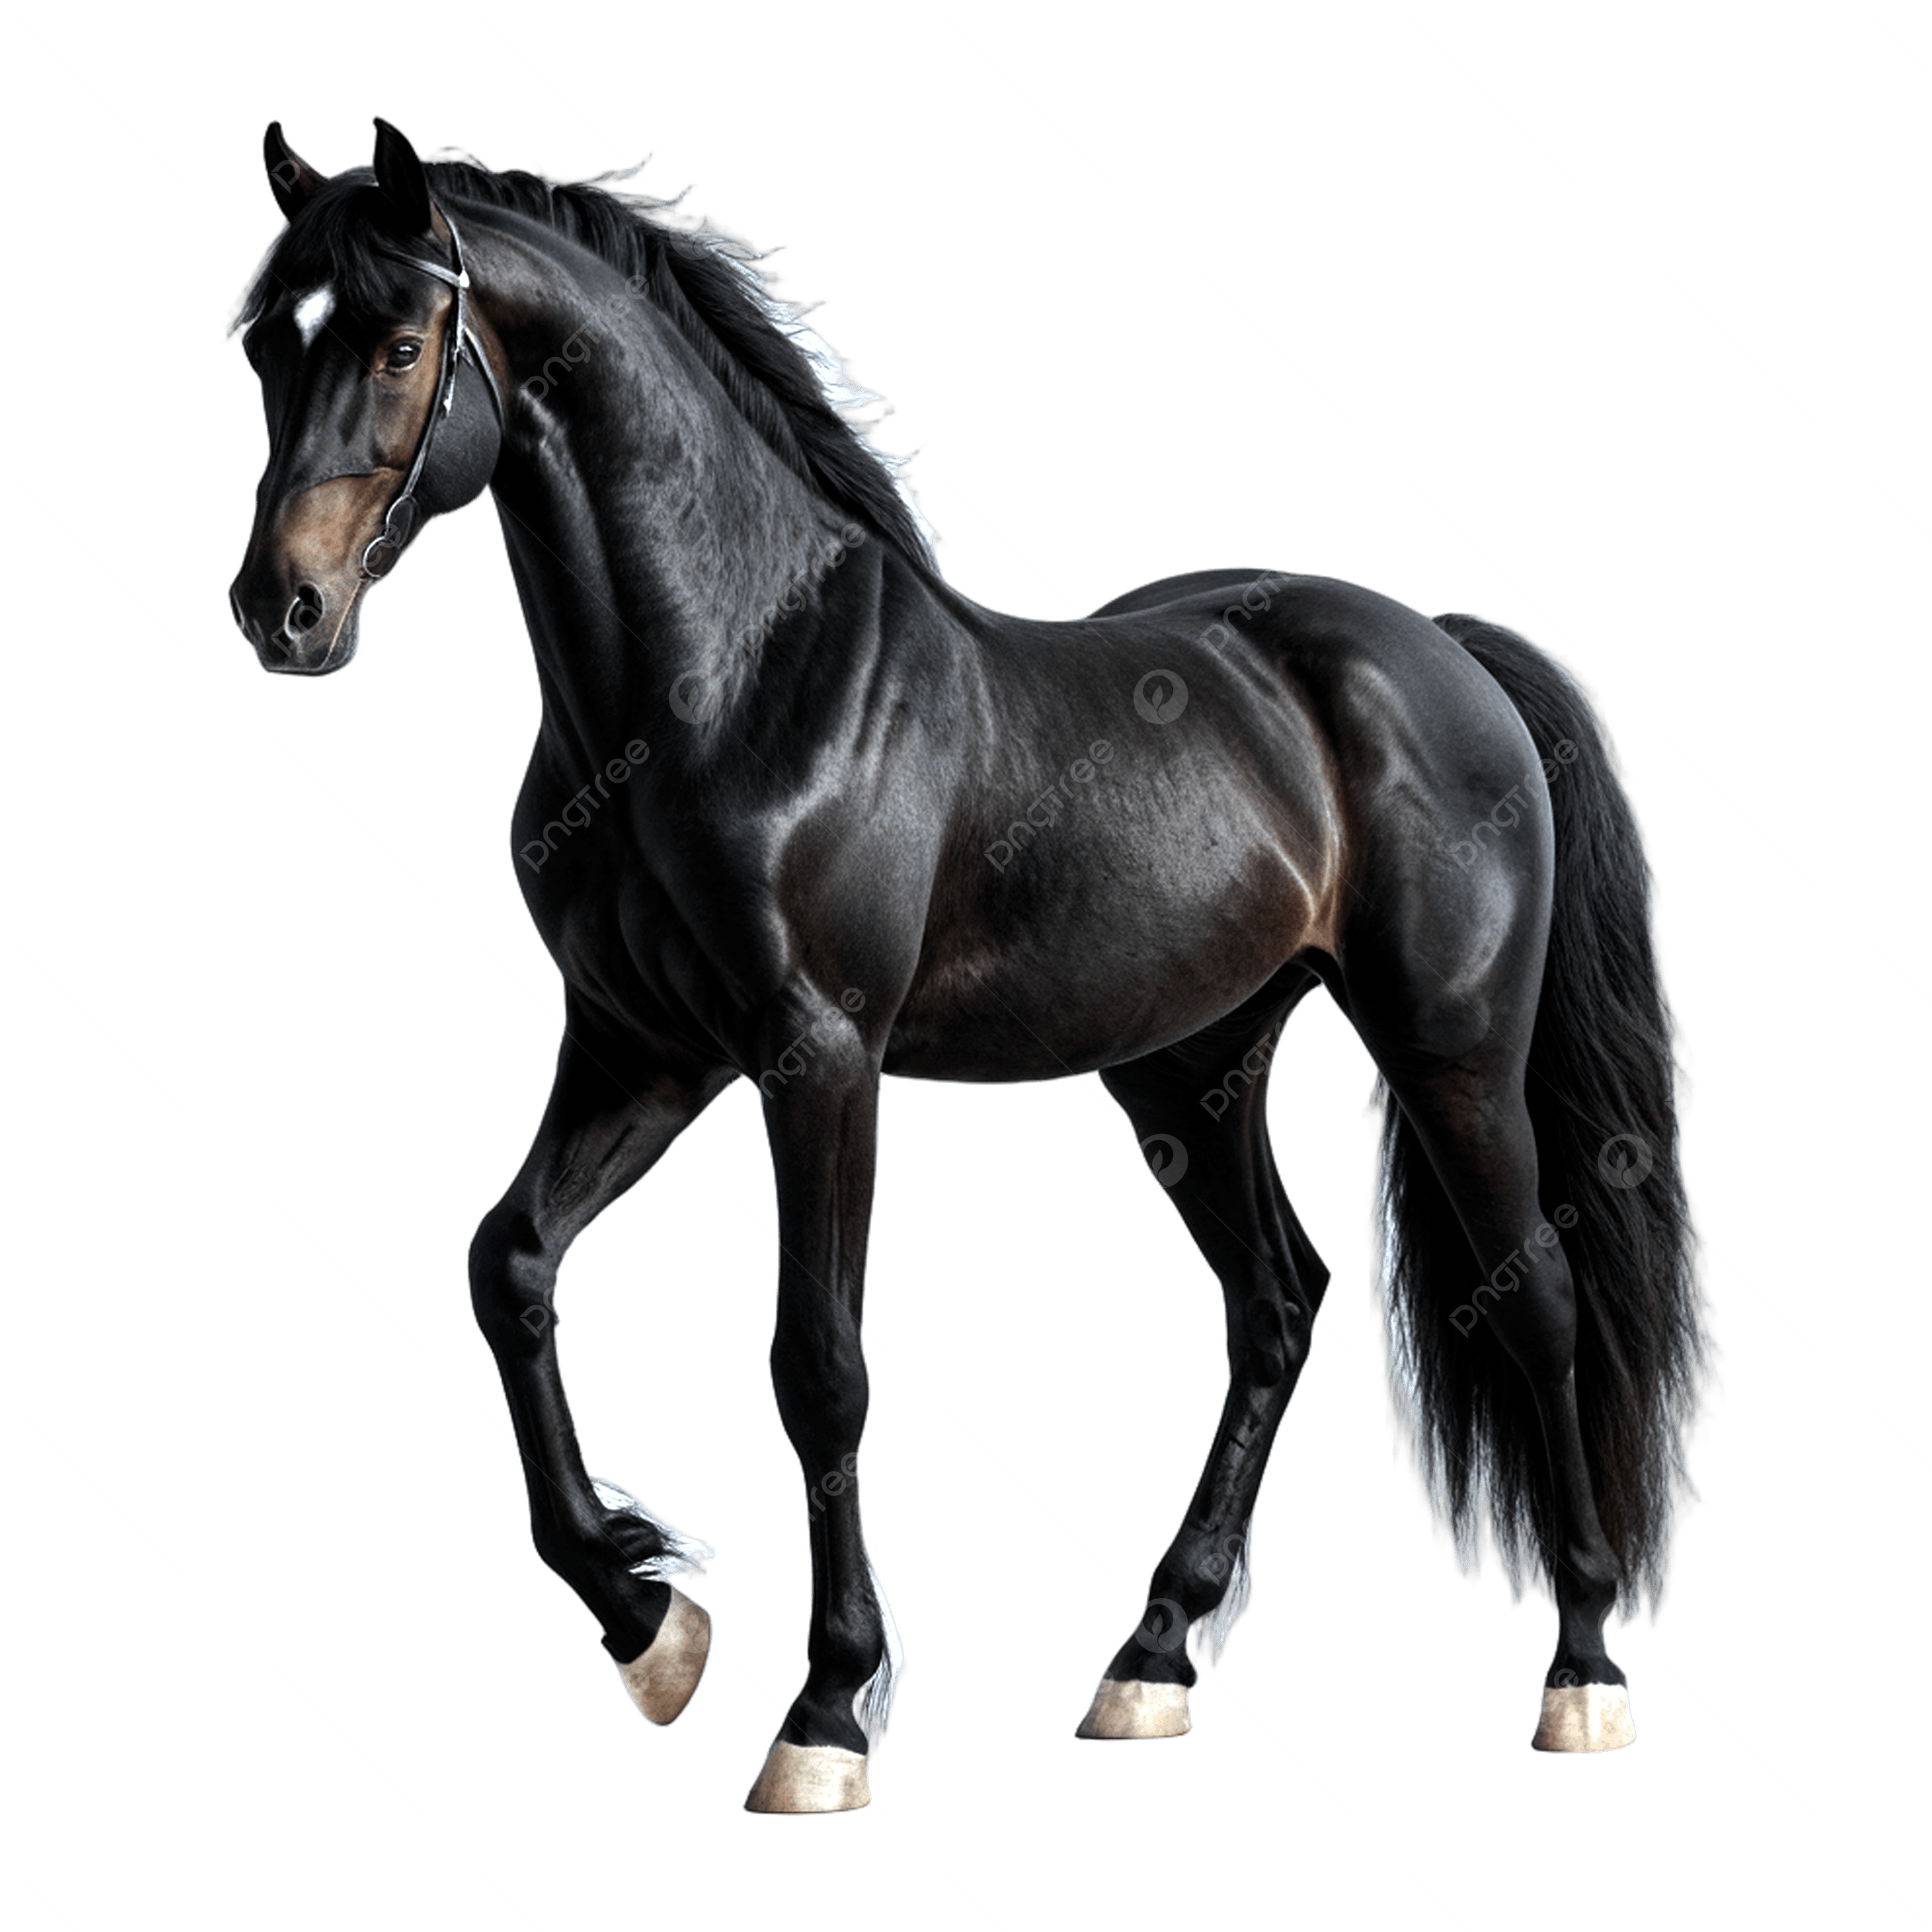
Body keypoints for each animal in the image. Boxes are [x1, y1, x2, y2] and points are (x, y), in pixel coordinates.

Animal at [224, 117, 1724, 1815]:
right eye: (260, 344)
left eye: (402, 343)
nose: (282, 613)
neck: (727, 681)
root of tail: (1448, 648)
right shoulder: (635, 1046)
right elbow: (508, 1265)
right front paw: (650, 1613)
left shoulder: (817, 1053)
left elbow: (815, 1361)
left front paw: (829, 1710)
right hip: (1186, 1074)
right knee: (1277, 1307)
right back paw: (1152, 1662)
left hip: (1449, 1049)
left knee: (1538, 1303)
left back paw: (1582, 1671)